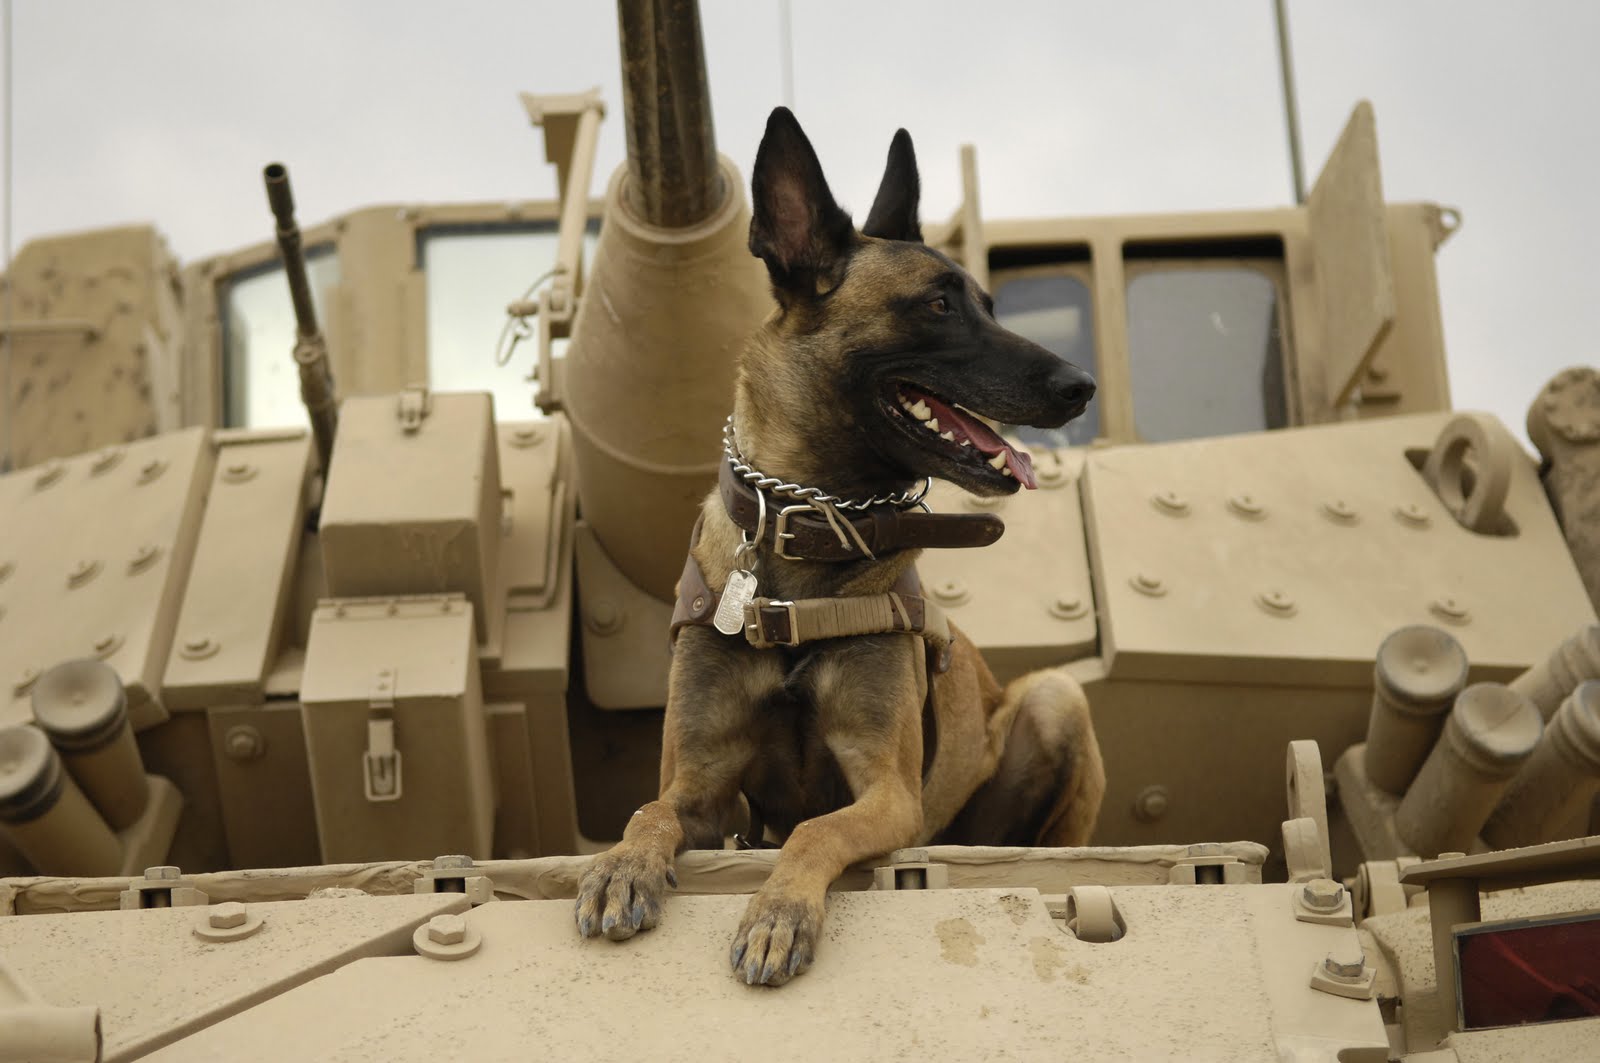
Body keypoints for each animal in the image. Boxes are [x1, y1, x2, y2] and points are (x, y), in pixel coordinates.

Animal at [582, 108, 1107, 986]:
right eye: (938, 304)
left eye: (988, 303)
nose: (1080, 385)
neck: (807, 535)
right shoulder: (701, 784)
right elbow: (648, 809)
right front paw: (622, 866)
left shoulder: (886, 792)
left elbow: (813, 829)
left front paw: (778, 914)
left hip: (1055, 699)